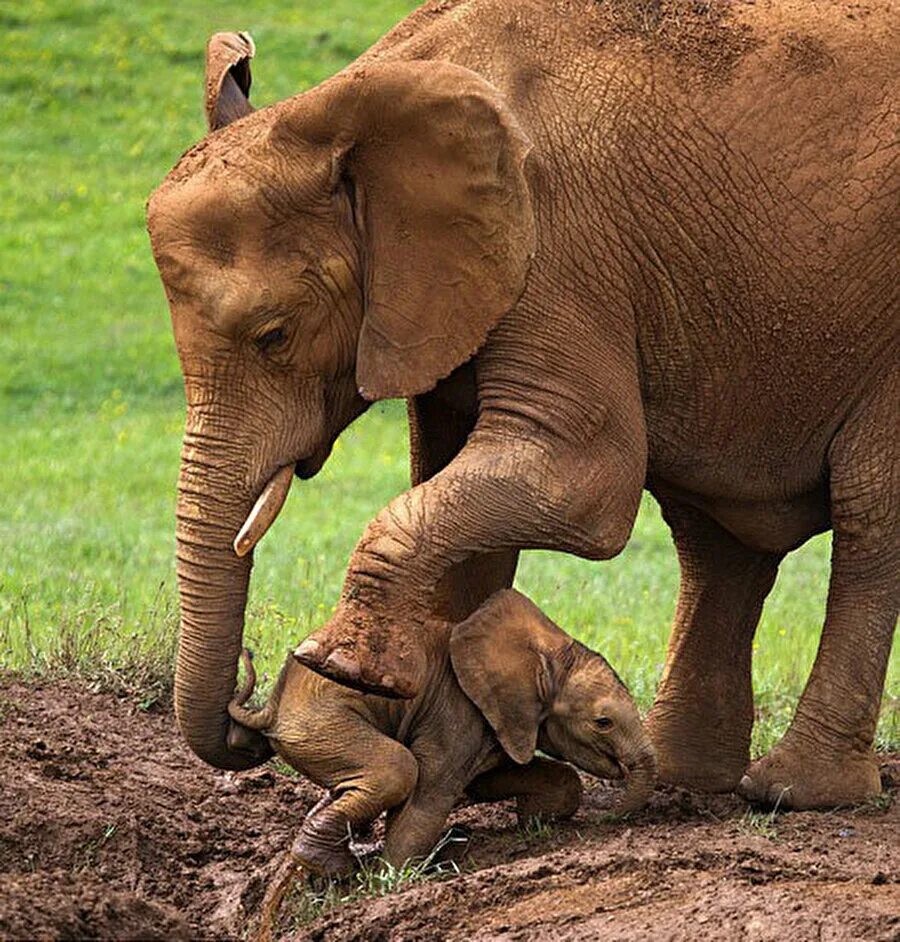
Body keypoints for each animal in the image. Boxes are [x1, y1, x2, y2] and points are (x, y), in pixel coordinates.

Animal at [151, 1, 896, 812]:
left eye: (275, 335)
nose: (245, 717)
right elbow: (453, 485)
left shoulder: (561, 245)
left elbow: (580, 481)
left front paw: (340, 665)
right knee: (714, 540)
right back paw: (687, 777)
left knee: (868, 513)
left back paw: (796, 792)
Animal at [230, 592, 652, 872]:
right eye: (603, 722)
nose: (610, 819)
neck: (547, 654)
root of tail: (271, 707)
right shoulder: (457, 709)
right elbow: (431, 794)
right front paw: (392, 876)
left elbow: (491, 778)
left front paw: (533, 819)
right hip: (320, 721)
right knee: (397, 769)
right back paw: (330, 867)